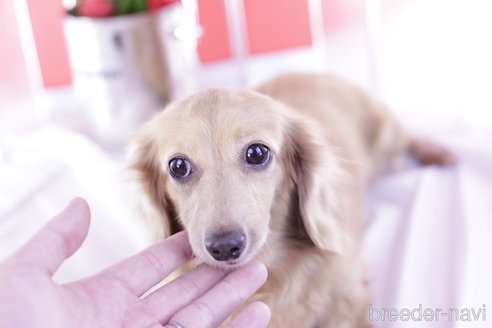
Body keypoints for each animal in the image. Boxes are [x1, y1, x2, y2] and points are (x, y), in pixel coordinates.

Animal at [128, 73, 454, 326]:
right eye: (177, 166)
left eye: (257, 153)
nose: (224, 247)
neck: (275, 271)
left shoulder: (353, 298)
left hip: (389, 139)